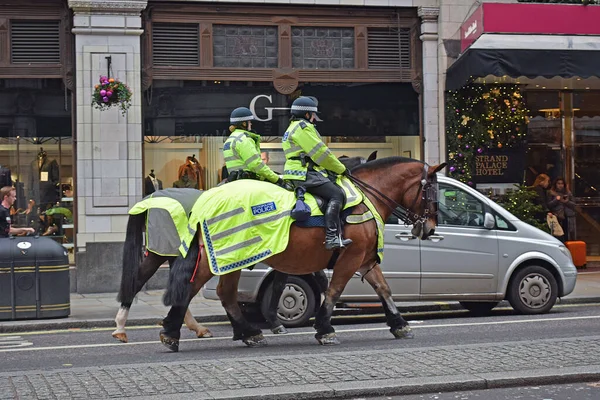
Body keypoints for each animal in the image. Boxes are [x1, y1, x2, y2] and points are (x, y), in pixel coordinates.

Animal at [113, 152, 376, 342]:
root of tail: (151, 199)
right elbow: (288, 285)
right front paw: (278, 322)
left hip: (171, 254)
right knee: (154, 283)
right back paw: (127, 328)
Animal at [159, 158, 446, 352]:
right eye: (432, 192)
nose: (430, 228)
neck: (365, 198)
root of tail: (207, 198)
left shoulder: (364, 258)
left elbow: (383, 288)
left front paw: (399, 323)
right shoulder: (350, 257)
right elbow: (335, 290)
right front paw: (325, 328)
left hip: (233, 259)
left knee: (226, 294)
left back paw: (248, 332)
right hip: (221, 257)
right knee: (195, 288)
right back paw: (172, 332)